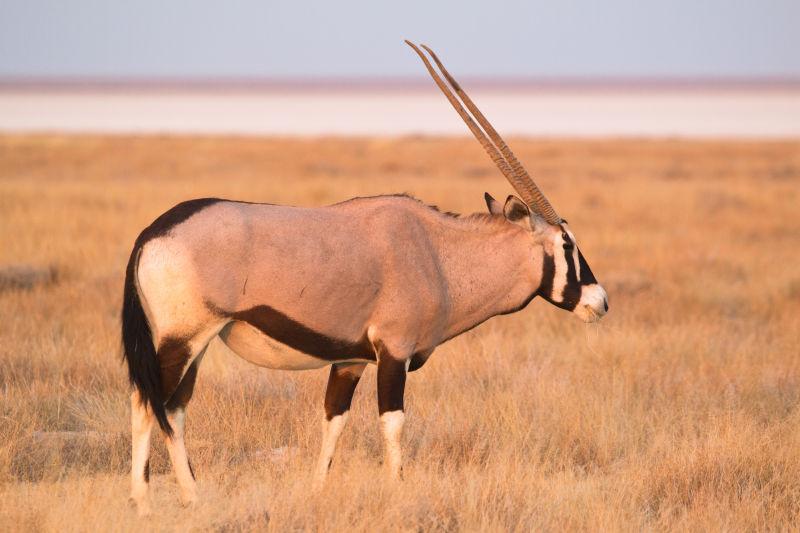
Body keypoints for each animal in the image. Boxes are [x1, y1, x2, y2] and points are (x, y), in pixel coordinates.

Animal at [122, 41, 608, 512]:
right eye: (567, 244)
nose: (599, 301)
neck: (438, 254)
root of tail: (151, 233)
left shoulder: (350, 360)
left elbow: (333, 422)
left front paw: (318, 491)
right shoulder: (393, 352)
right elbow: (392, 424)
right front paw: (398, 491)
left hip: (198, 344)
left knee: (174, 408)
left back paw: (191, 496)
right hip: (181, 339)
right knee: (147, 403)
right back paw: (146, 501)